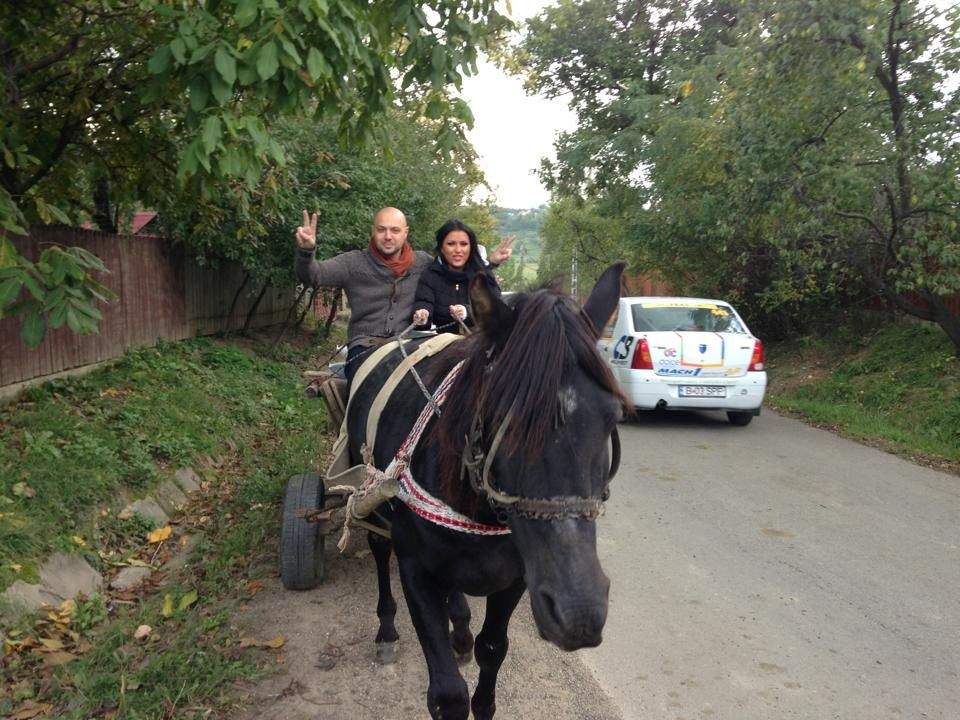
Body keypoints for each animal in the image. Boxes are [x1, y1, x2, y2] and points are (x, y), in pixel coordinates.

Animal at [348, 264, 628, 720]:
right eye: (503, 416)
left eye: (612, 415)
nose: (579, 612)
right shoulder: (415, 570)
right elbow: (448, 694)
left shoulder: (517, 577)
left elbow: (492, 649)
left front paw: (470, 641)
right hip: (369, 495)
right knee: (378, 549)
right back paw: (387, 629)